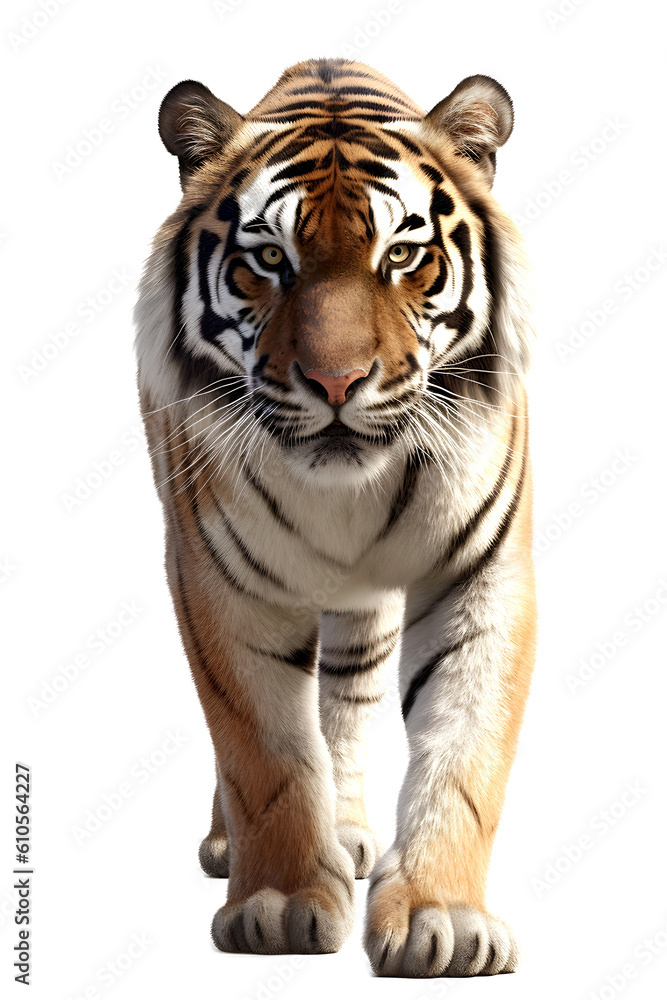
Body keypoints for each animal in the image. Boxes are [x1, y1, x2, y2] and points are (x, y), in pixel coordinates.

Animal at [135, 57, 537, 978]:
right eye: (268, 260)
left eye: (403, 256)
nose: (335, 382)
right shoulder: (216, 582)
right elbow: (264, 755)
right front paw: (278, 909)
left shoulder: (480, 576)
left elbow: (463, 757)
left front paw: (443, 919)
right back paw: (231, 845)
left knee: (347, 704)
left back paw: (348, 831)